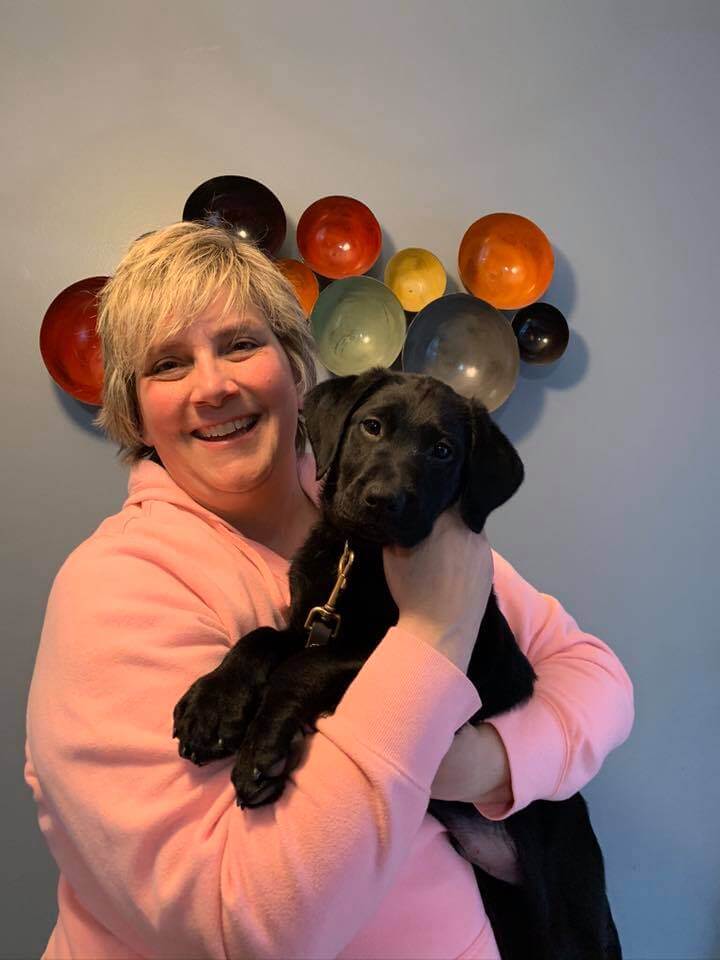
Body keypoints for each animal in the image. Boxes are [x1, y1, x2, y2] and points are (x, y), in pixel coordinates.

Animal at [176, 370, 624, 960]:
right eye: (372, 426)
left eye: (443, 451)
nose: (383, 501)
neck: (357, 554)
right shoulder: (309, 621)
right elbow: (262, 639)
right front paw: (213, 707)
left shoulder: (414, 657)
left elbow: (302, 669)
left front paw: (262, 751)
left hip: (568, 920)